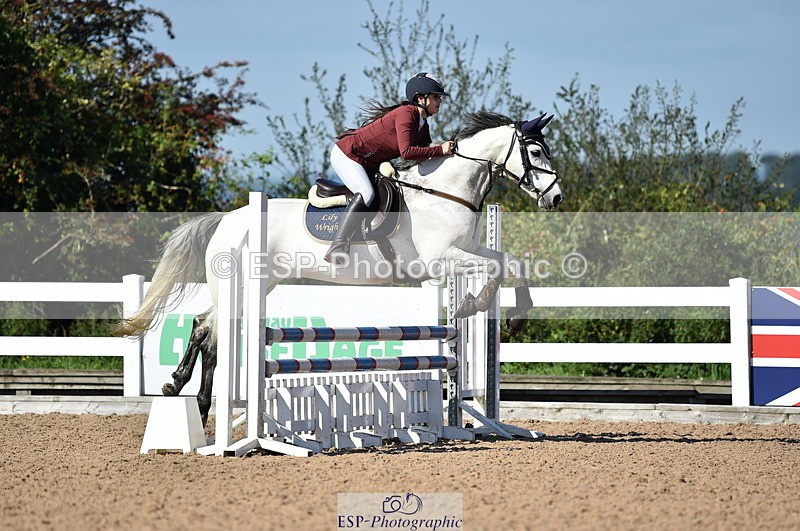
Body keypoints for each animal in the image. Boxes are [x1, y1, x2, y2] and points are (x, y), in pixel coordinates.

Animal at [117, 111, 564, 424]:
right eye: (535, 152)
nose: (556, 198)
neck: (445, 192)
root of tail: (227, 220)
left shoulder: (467, 250)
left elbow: (510, 263)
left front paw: (509, 314)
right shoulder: (441, 259)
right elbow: (497, 271)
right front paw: (476, 304)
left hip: (258, 286)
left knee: (201, 326)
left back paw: (183, 390)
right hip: (244, 286)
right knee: (211, 333)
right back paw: (194, 399)